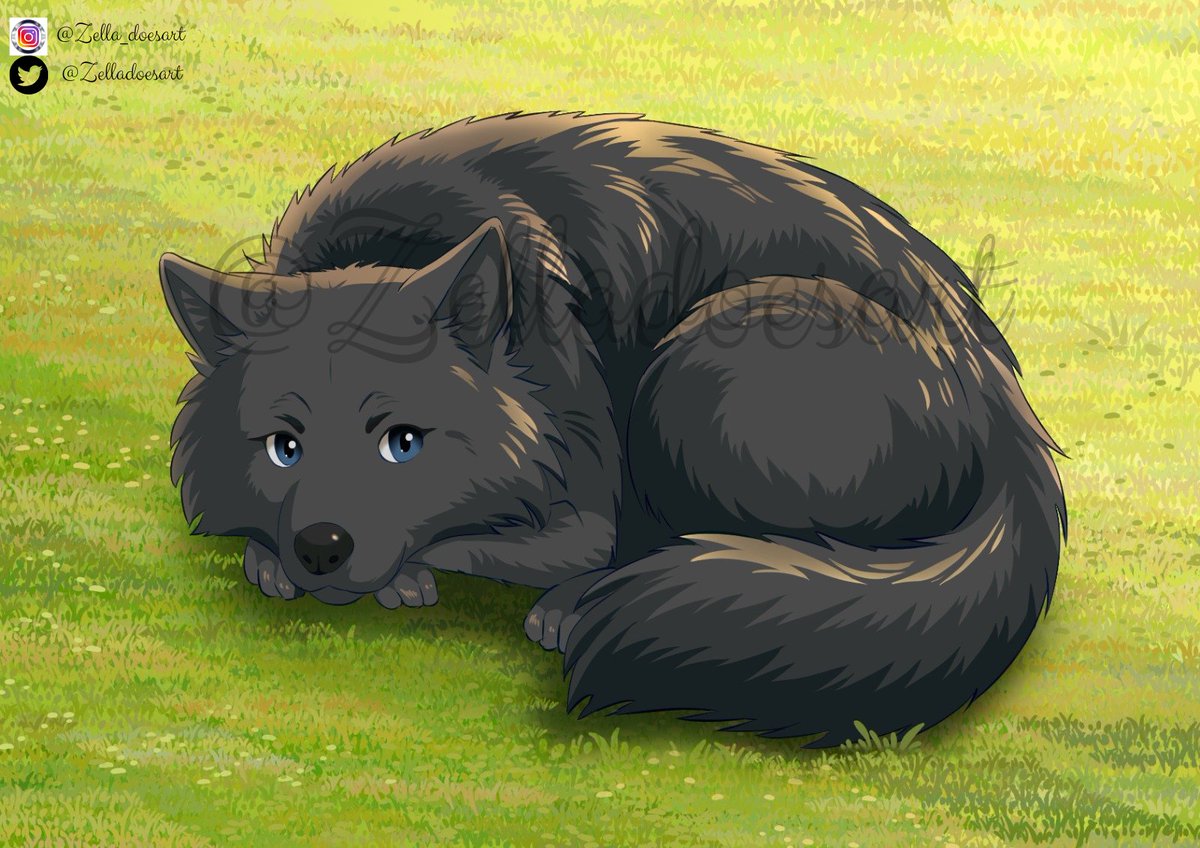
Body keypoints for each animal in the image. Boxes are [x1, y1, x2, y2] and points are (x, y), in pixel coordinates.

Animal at [160, 111, 1065, 744]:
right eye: (284, 449)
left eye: (403, 443)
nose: (321, 547)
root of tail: (1006, 402)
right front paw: (272, 558)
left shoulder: (586, 492)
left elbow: (521, 540)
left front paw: (422, 574)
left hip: (707, 359)